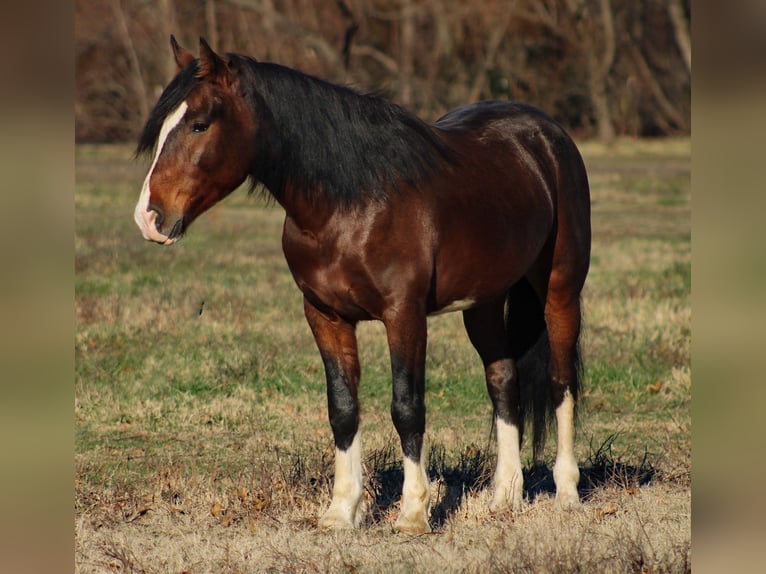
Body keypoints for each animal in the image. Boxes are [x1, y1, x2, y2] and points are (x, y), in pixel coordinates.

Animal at [134, 37, 590, 535]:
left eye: (199, 123)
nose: (149, 217)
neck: (350, 206)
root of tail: (546, 134)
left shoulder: (403, 315)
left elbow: (407, 407)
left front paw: (413, 513)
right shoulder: (325, 316)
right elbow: (343, 408)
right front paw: (341, 511)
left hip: (560, 291)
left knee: (561, 381)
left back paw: (567, 493)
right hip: (484, 301)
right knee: (503, 380)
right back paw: (505, 496)